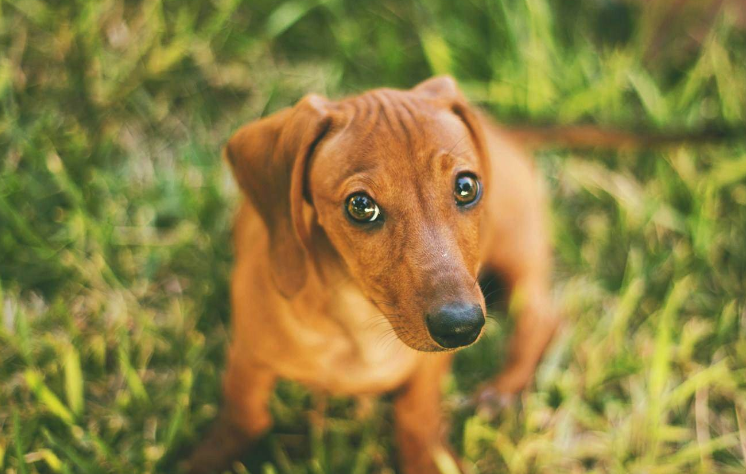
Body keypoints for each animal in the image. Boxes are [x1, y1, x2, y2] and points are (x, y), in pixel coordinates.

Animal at [185, 77, 560, 474]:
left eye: (466, 186)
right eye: (361, 206)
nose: (462, 327)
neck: (360, 324)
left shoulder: (430, 370)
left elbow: (416, 417)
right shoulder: (247, 356)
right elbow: (244, 417)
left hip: (515, 249)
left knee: (543, 318)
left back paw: (501, 390)